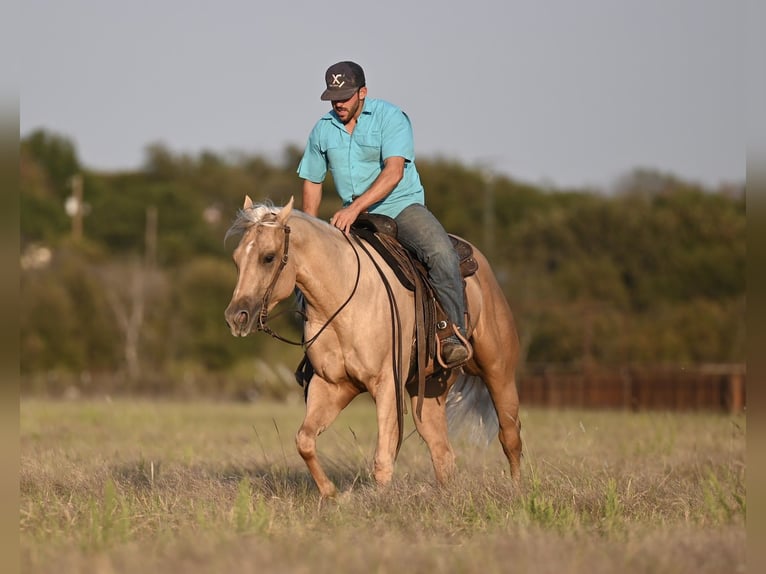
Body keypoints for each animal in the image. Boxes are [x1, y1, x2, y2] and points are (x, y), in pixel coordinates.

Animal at [222, 196, 520, 498]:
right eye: (236, 259)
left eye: (268, 257)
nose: (236, 317)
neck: (343, 297)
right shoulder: (332, 385)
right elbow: (304, 440)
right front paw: (331, 494)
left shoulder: (386, 384)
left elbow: (383, 457)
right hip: (428, 389)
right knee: (442, 452)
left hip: (498, 370)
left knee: (510, 434)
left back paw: (517, 489)